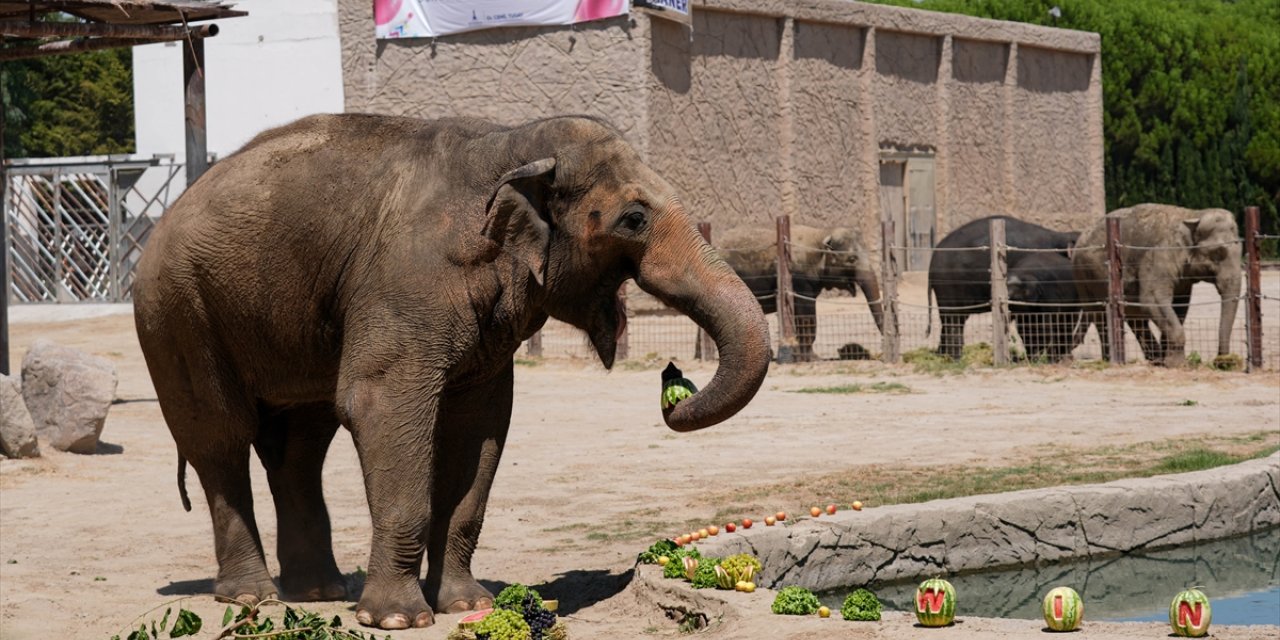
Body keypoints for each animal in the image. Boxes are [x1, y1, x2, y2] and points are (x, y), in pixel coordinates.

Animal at [131, 112, 768, 627]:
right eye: (633, 219)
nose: (671, 380)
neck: (509, 142)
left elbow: (479, 425)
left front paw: (467, 605)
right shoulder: (406, 282)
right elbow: (379, 404)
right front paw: (396, 620)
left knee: (300, 444)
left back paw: (316, 593)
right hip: (178, 315)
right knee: (220, 438)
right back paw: (250, 599)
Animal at [716, 225, 885, 360]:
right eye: (851, 259)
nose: (879, 354)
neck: (822, 233)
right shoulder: (800, 277)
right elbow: (806, 314)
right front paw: (813, 359)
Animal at [926, 216, 1085, 360]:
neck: (1061, 235)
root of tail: (931, 262)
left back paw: (942, 356)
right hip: (948, 284)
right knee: (954, 319)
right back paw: (955, 358)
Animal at [1070, 204, 1239, 366]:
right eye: (1218, 252)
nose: (1222, 361)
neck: (1193, 214)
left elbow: (1179, 305)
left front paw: (1168, 359)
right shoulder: (1160, 254)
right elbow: (1153, 300)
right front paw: (1177, 364)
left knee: (1135, 317)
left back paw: (1155, 359)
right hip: (1084, 276)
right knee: (1100, 315)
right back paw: (1110, 360)